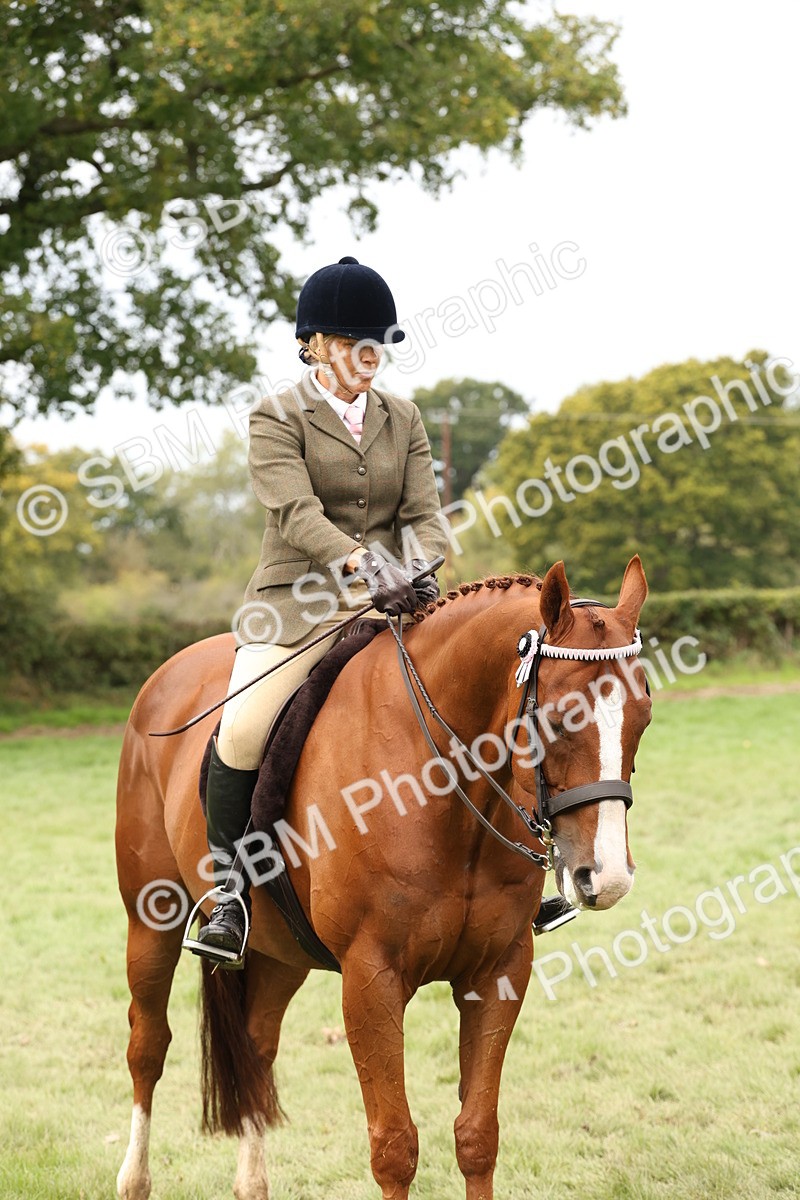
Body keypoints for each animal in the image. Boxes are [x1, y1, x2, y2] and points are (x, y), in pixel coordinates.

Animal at [115, 555, 651, 1200]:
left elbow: (477, 1136)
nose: (608, 876)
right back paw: (134, 1178)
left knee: (256, 1049)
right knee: (148, 1046)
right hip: (150, 923)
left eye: (644, 716)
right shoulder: (371, 978)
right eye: (556, 717)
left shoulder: (498, 970)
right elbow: (395, 1149)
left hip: (278, 951)